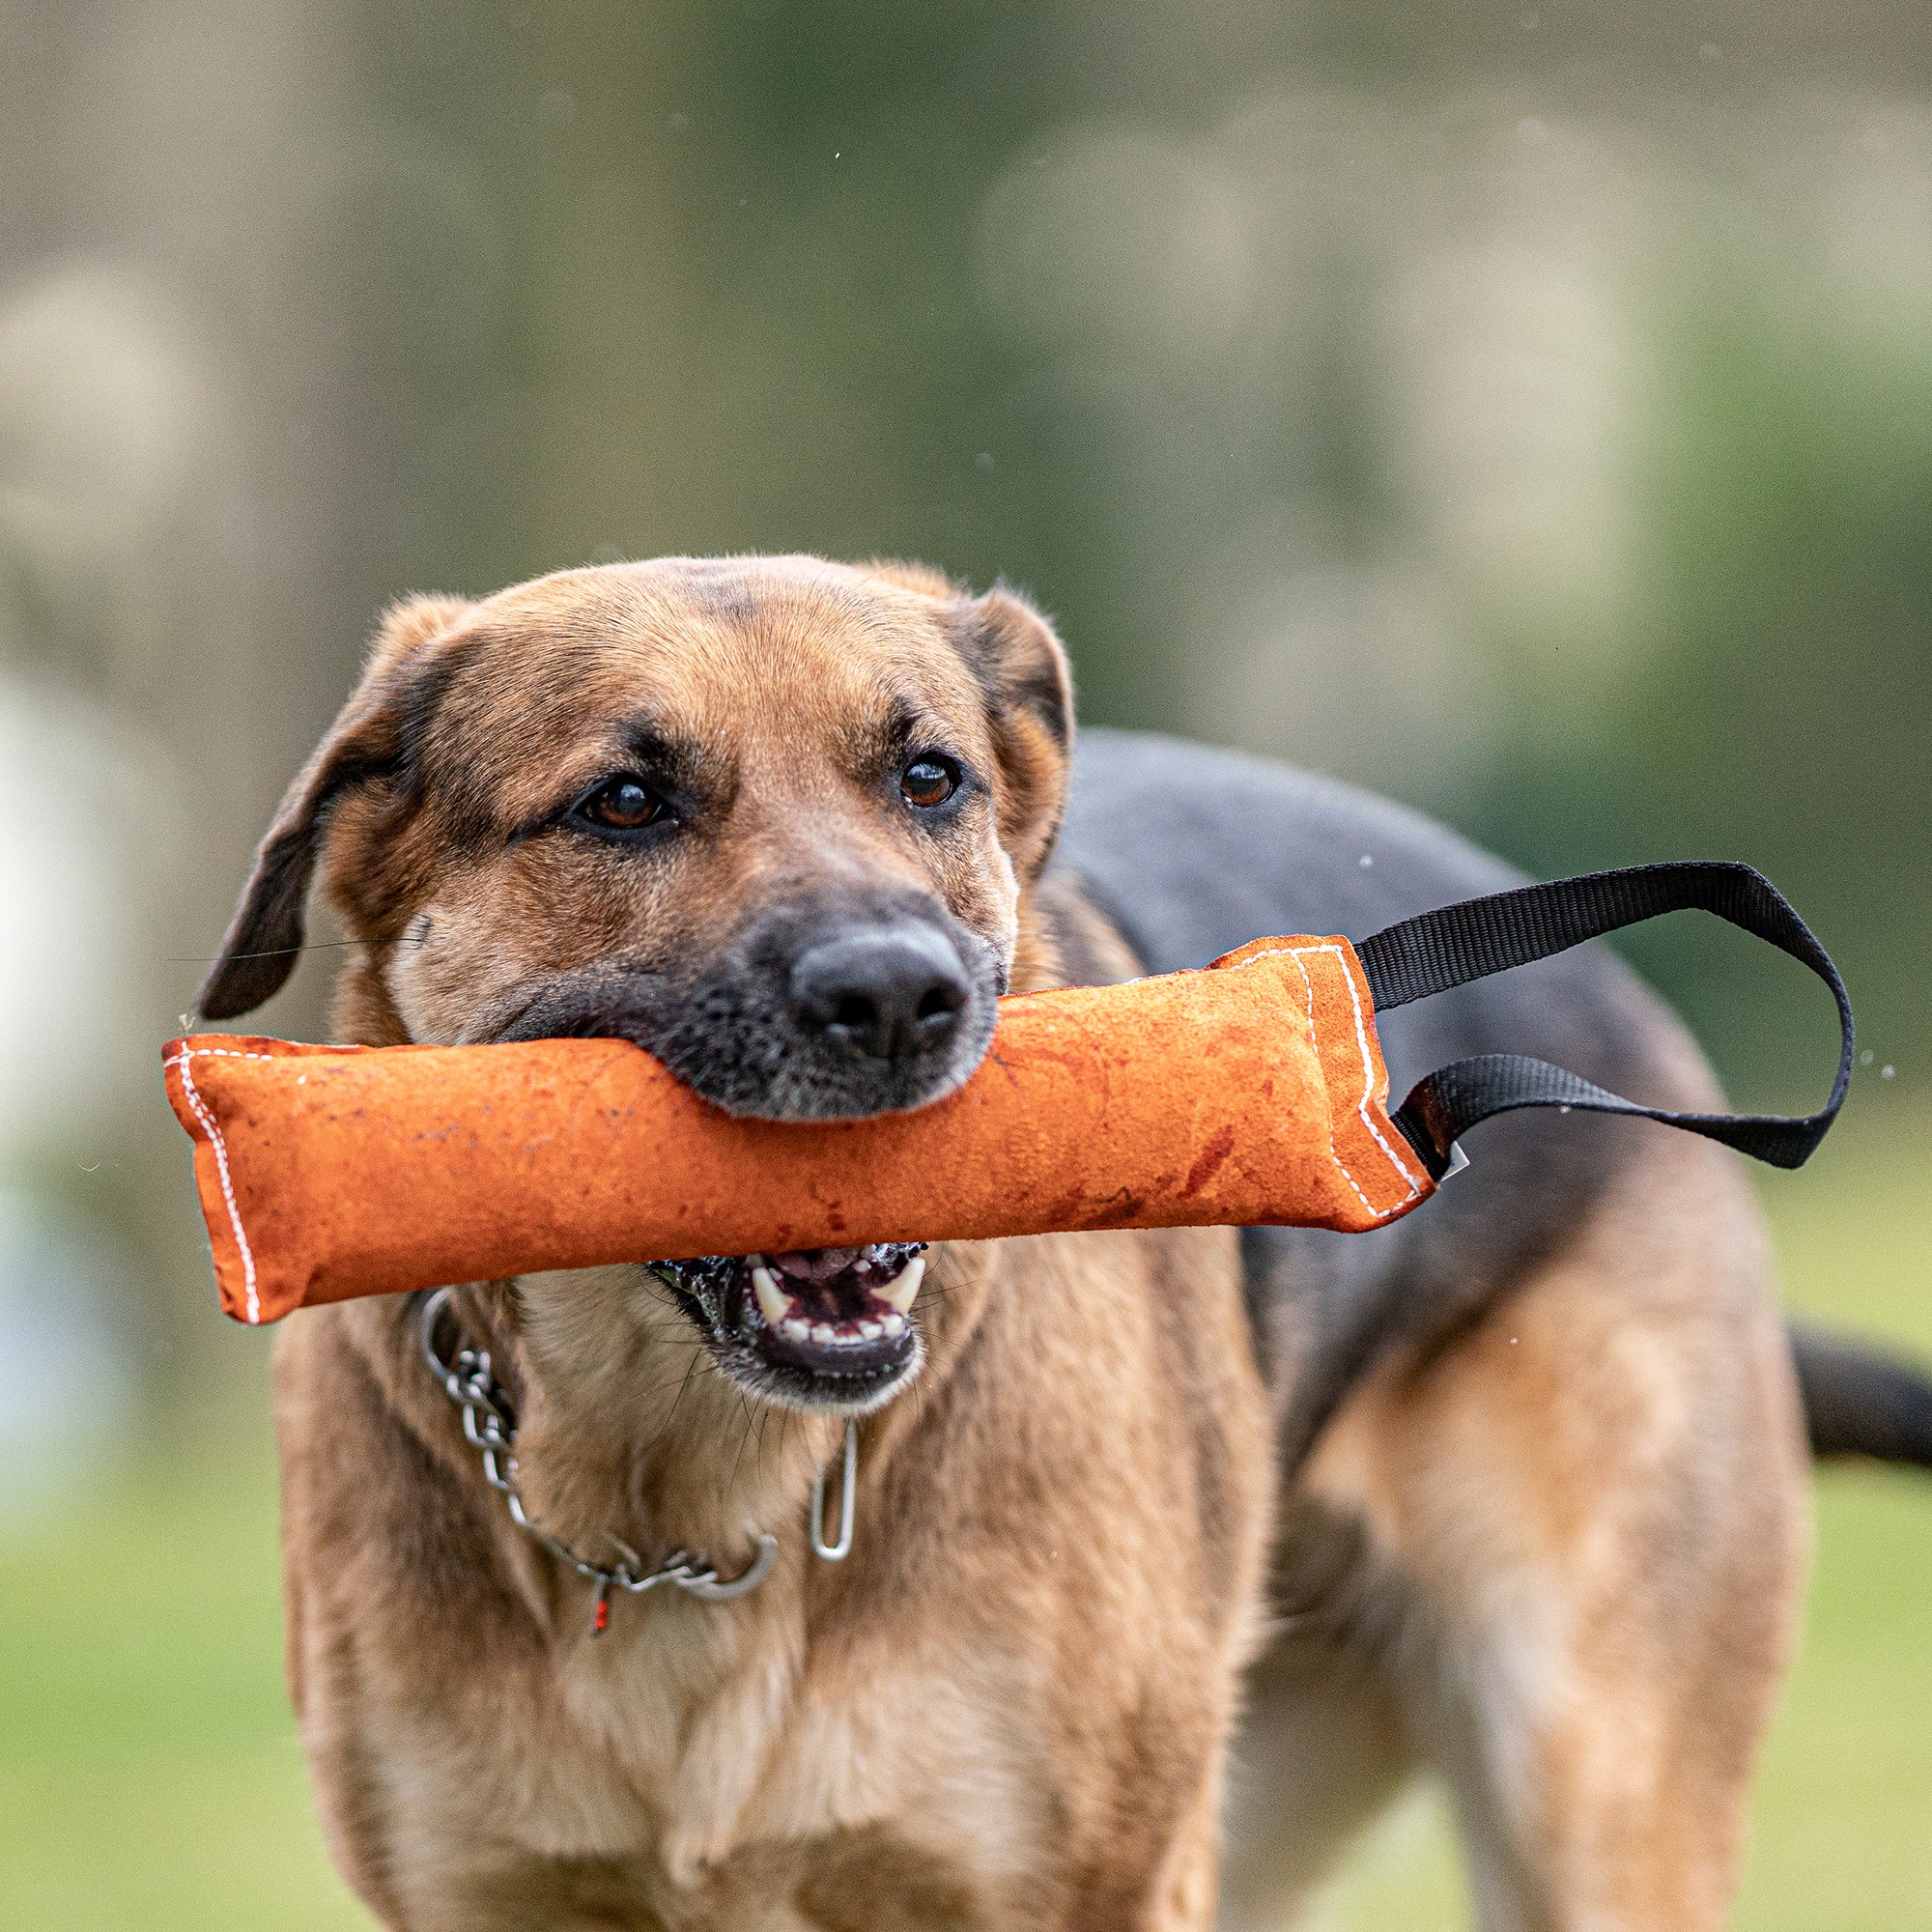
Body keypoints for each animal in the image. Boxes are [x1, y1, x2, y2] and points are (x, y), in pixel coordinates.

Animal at [200, 553, 1932, 1924]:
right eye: (625, 802)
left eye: (929, 779)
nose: (902, 998)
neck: (678, 1499)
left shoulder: (1085, 1883)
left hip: (1581, 1789)